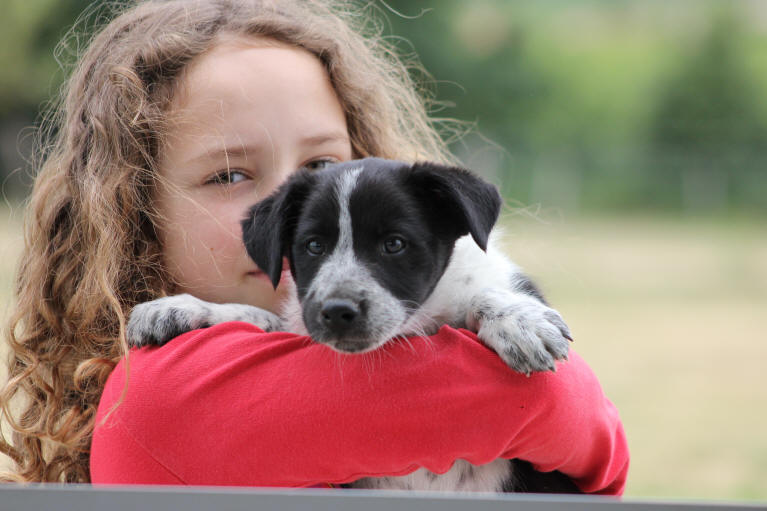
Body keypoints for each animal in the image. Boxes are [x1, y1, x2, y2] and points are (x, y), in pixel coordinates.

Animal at [129, 158, 580, 494]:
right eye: (313, 246)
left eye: (394, 244)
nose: (336, 311)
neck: (413, 325)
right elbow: (259, 316)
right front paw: (182, 307)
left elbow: (484, 291)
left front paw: (519, 320)